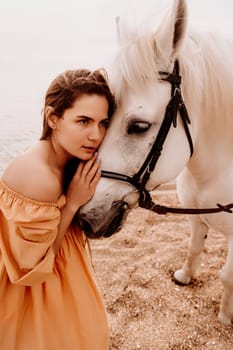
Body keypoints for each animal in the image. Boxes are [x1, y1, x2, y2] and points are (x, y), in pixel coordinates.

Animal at [78, 0, 233, 326]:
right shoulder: (196, 217)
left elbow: (227, 277)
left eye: (138, 126)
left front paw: (226, 317)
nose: (84, 218)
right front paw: (184, 276)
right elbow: (194, 248)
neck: (212, 174)